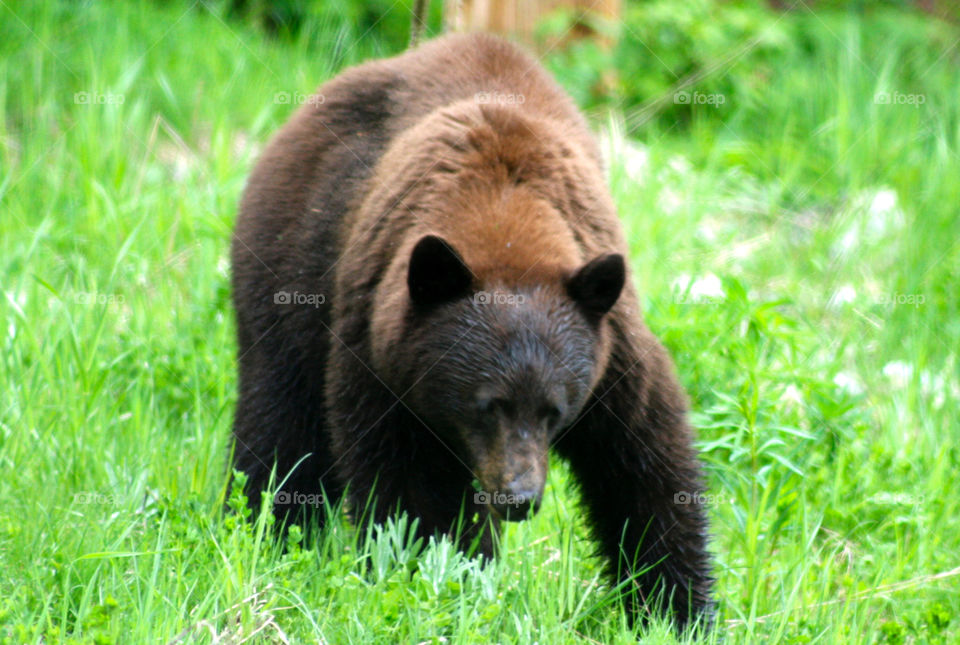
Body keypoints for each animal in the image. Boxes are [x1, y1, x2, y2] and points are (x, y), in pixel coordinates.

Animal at [232, 31, 712, 628]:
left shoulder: (613, 356)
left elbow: (642, 461)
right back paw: (268, 530)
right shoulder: (382, 361)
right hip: (291, 258)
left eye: (555, 410)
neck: (504, 219)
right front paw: (445, 579)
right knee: (281, 414)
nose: (519, 499)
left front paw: (675, 609)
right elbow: (415, 493)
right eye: (487, 405)